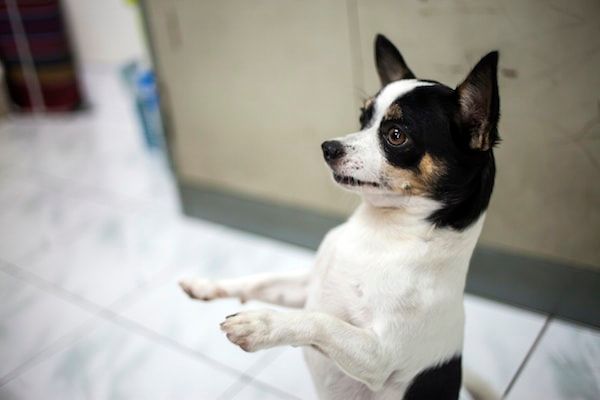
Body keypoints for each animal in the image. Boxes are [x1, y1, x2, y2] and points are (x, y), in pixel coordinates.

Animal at [180, 34, 500, 400]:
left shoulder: (377, 356)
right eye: (363, 119)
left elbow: (320, 321)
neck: (381, 232)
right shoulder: (304, 288)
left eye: (396, 135)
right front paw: (207, 285)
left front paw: (261, 324)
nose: (328, 147)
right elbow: (259, 281)